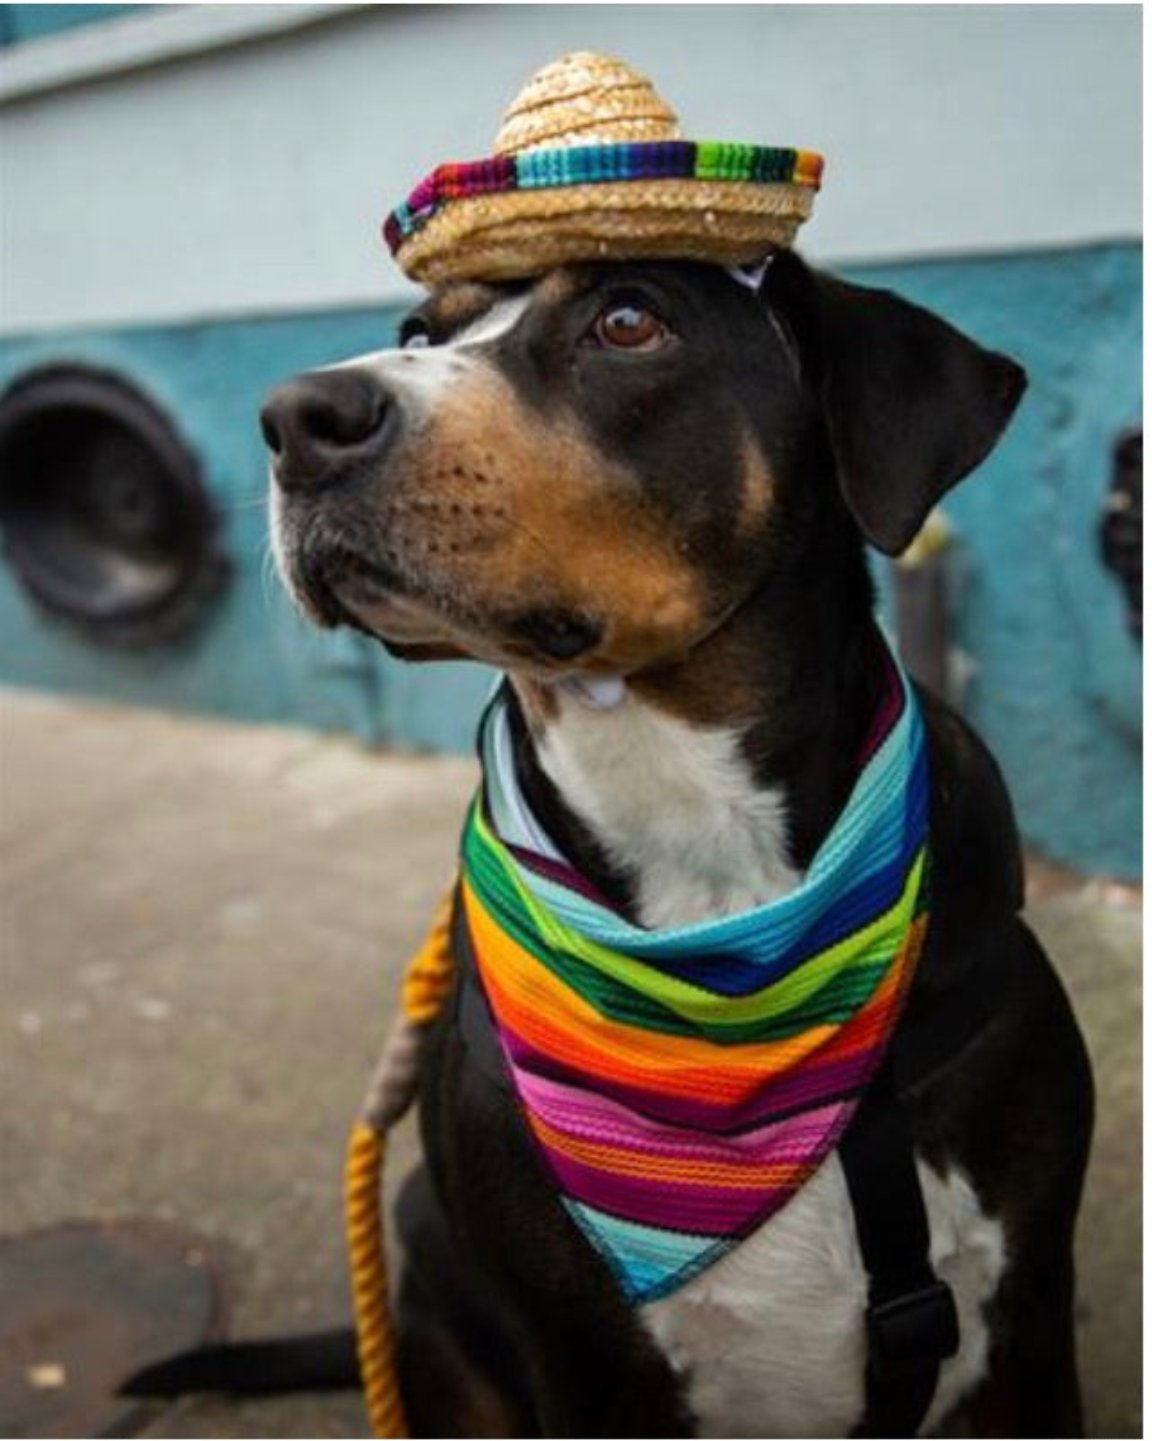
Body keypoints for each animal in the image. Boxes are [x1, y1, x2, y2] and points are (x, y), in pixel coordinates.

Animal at [137, 253, 1101, 1435]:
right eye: (418, 331)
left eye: (629, 322)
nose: (296, 419)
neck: (702, 846)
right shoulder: (580, 1359)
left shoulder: (1031, 1328)